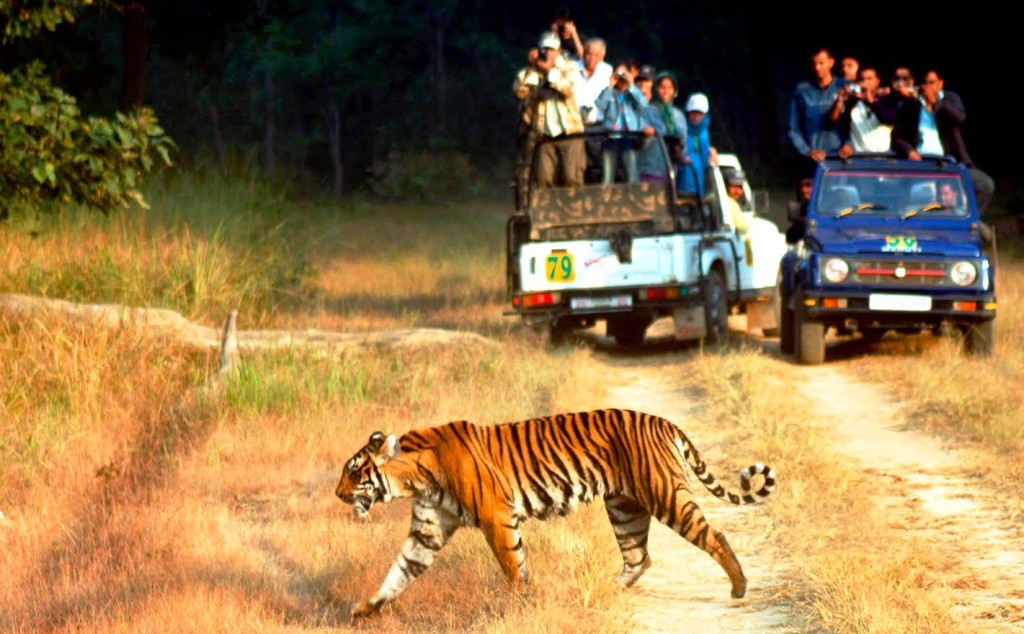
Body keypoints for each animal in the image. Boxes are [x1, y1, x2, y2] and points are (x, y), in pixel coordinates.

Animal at [335, 407, 774, 618]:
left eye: (354, 471)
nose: (337, 494)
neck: (416, 477)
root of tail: (666, 423)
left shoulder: (496, 518)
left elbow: (514, 566)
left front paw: (520, 604)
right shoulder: (427, 531)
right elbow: (398, 572)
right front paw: (365, 610)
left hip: (665, 496)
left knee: (713, 536)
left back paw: (739, 587)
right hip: (624, 508)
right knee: (639, 557)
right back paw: (600, 593)